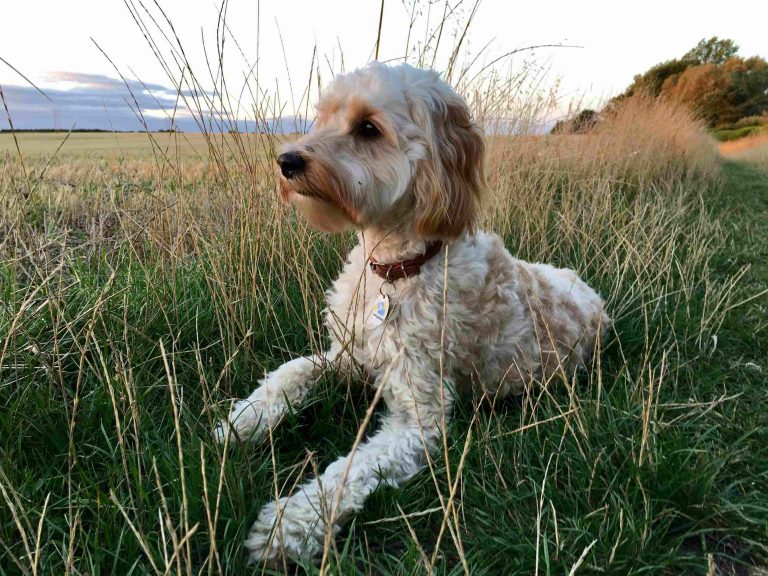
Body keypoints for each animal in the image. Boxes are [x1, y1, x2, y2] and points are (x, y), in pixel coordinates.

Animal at [213, 62, 608, 564]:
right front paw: (243, 420)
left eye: (368, 128)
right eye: (324, 116)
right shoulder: (349, 356)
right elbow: (291, 370)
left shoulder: (420, 418)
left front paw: (290, 523)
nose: (287, 160)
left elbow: (353, 469)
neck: (396, 269)